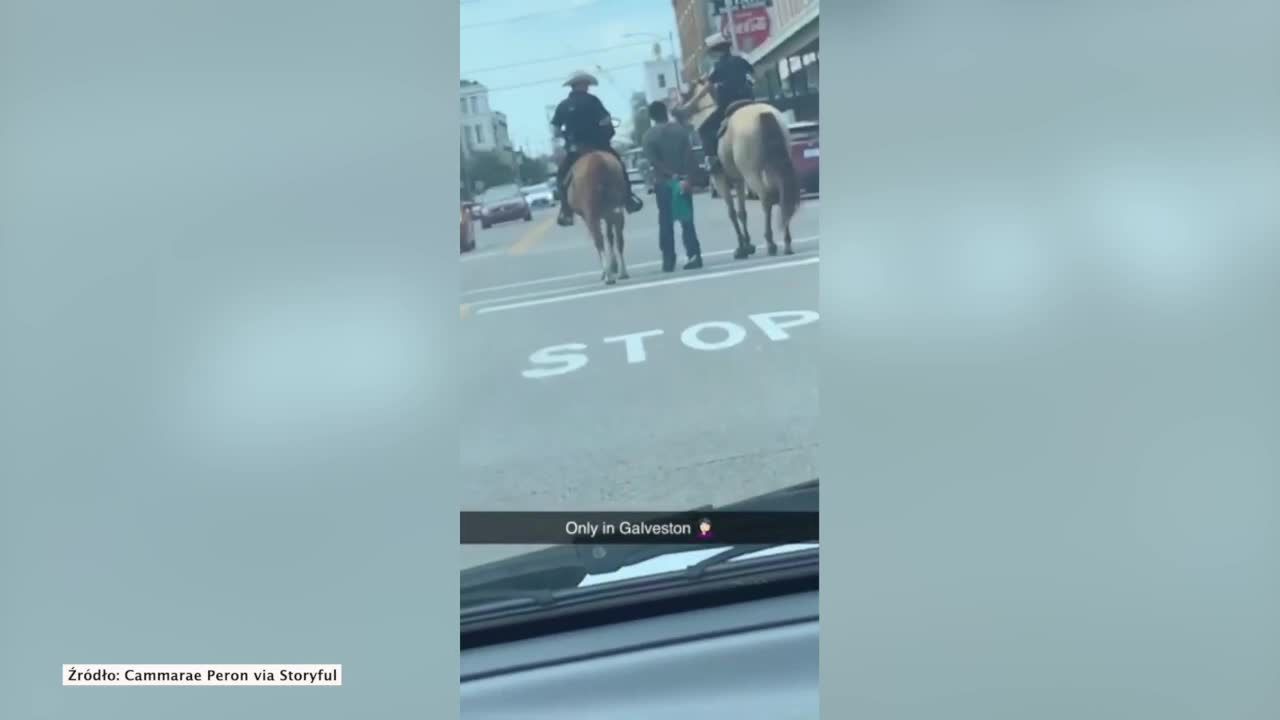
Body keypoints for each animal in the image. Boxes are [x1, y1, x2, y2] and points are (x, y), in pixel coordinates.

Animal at [570, 149, 629, 284]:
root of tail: (597, 161)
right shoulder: (608, 215)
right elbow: (610, 237)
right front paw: (613, 266)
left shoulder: (589, 217)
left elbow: (602, 239)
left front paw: (608, 270)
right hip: (616, 213)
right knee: (619, 240)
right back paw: (622, 273)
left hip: (591, 215)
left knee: (599, 240)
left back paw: (609, 277)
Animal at [680, 82, 798, 256]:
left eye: (686, 95)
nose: (679, 112)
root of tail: (763, 113)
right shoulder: (738, 180)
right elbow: (742, 212)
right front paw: (748, 244)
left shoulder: (720, 179)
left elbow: (732, 213)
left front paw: (742, 247)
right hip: (773, 166)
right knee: (783, 192)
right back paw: (787, 242)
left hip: (752, 172)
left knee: (767, 198)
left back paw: (771, 242)